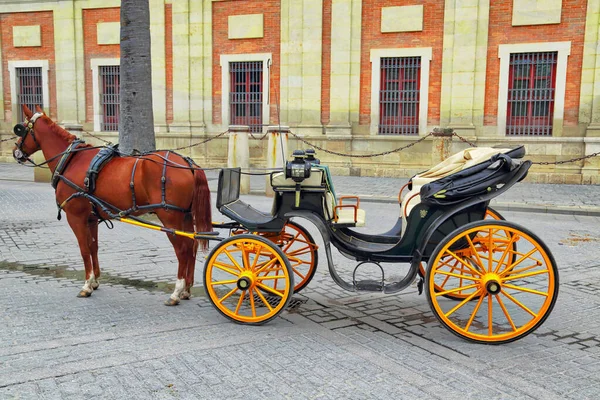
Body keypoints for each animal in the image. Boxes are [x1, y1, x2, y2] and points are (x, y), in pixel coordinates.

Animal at [11, 104, 213, 304]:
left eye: (21, 129)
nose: (15, 152)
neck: (71, 161)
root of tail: (187, 163)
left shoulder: (76, 217)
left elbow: (84, 249)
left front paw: (86, 285)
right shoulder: (91, 219)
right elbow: (93, 247)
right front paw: (94, 281)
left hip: (170, 218)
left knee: (182, 249)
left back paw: (177, 291)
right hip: (185, 215)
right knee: (192, 245)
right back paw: (186, 289)